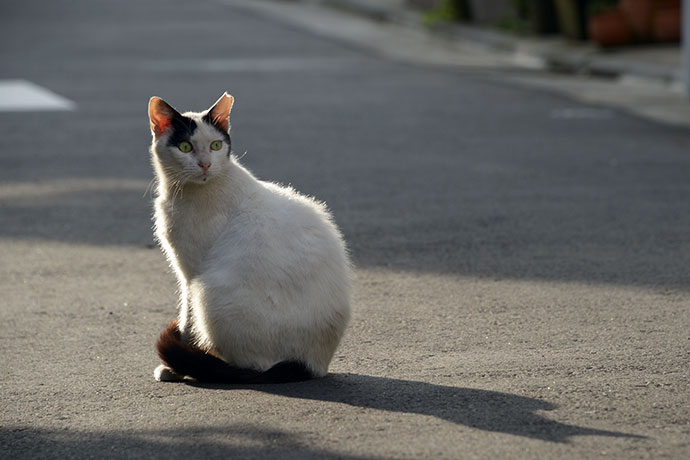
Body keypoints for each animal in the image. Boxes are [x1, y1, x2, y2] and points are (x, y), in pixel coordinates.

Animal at [145, 91, 350, 382]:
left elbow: (187, 324)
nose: (205, 164)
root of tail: (314, 365)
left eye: (216, 145)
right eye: (185, 147)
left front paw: (176, 367)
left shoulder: (189, 273)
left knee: (252, 366)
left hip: (209, 292)